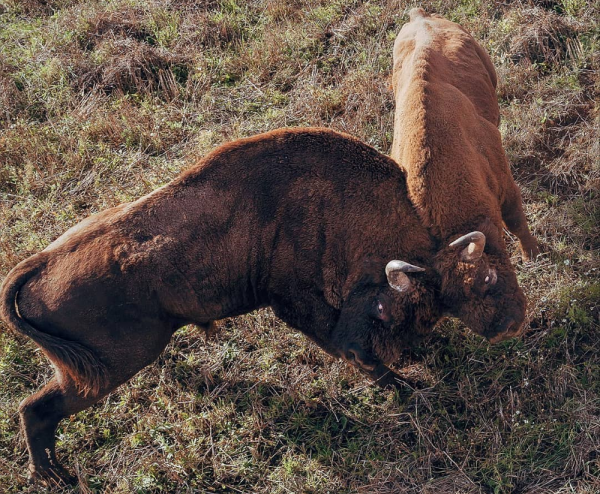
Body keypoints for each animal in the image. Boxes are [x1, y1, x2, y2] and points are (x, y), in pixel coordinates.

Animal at [2, 127, 520, 486]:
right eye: (385, 308)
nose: (511, 325)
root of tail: (39, 263)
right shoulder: (295, 301)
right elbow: (327, 335)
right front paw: (403, 386)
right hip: (105, 370)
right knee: (36, 408)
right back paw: (54, 476)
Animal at [390, 10, 540, 344]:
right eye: (453, 309)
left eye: (486, 277)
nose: (505, 330)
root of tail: (419, 16)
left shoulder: (506, 187)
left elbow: (517, 223)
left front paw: (532, 256)